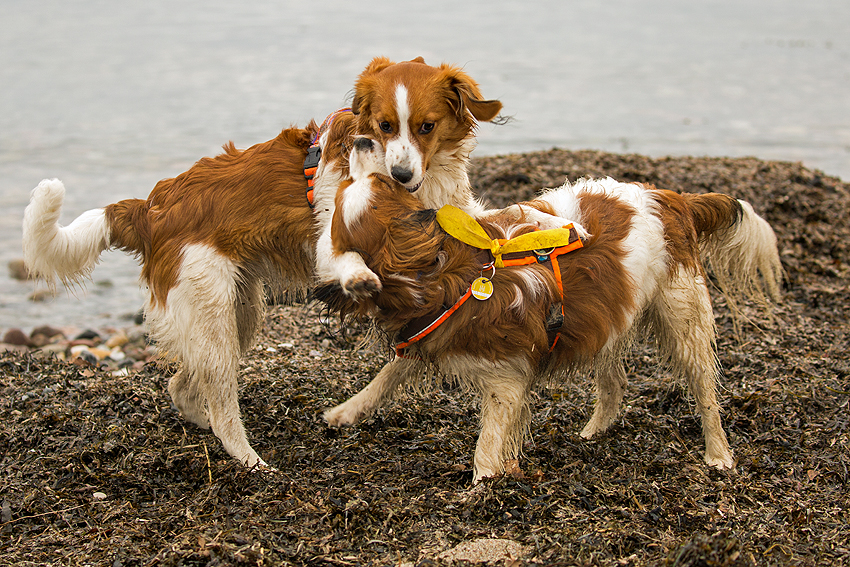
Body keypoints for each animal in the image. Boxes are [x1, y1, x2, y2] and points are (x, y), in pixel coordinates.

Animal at [21, 55, 504, 468]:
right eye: (385, 125)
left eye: (426, 127)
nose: (401, 174)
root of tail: (150, 208)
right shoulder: (330, 238)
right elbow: (343, 257)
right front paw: (359, 278)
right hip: (214, 319)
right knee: (221, 406)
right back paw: (252, 462)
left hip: (240, 312)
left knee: (183, 388)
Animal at [320, 138, 780, 484]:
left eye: (381, 180)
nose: (361, 140)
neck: (452, 273)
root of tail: (669, 197)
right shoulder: (429, 335)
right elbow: (386, 376)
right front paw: (347, 411)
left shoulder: (506, 381)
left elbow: (486, 445)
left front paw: (483, 486)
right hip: (610, 316)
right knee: (615, 384)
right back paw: (593, 432)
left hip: (682, 315)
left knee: (704, 389)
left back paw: (718, 454)